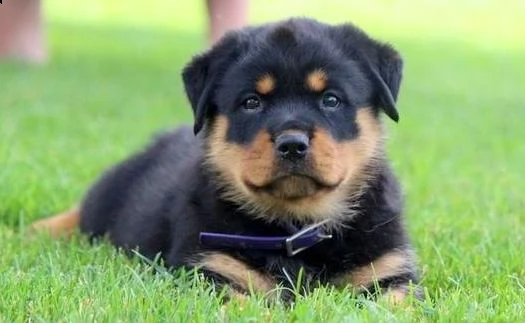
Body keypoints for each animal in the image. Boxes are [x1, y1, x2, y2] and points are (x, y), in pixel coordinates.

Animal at [29, 18, 422, 304]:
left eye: (331, 99)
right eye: (251, 102)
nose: (292, 144)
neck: (297, 226)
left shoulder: (389, 273)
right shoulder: (213, 270)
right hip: (112, 193)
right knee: (83, 213)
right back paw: (35, 231)